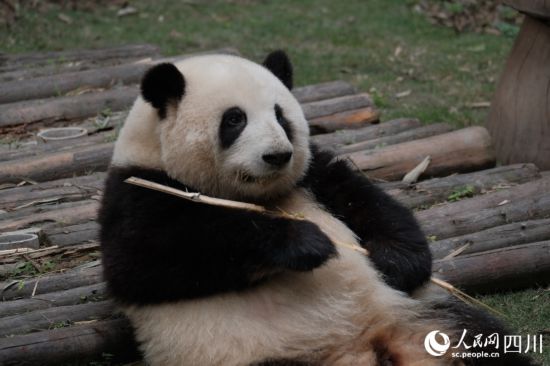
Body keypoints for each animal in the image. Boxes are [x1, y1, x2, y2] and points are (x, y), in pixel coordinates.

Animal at [98, 51, 536, 366]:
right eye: (234, 120)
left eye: (281, 116)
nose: (277, 155)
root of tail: (361, 348)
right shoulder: (136, 191)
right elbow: (148, 260)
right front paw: (307, 243)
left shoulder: (312, 176)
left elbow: (367, 200)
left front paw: (396, 260)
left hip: (423, 320)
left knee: (481, 338)